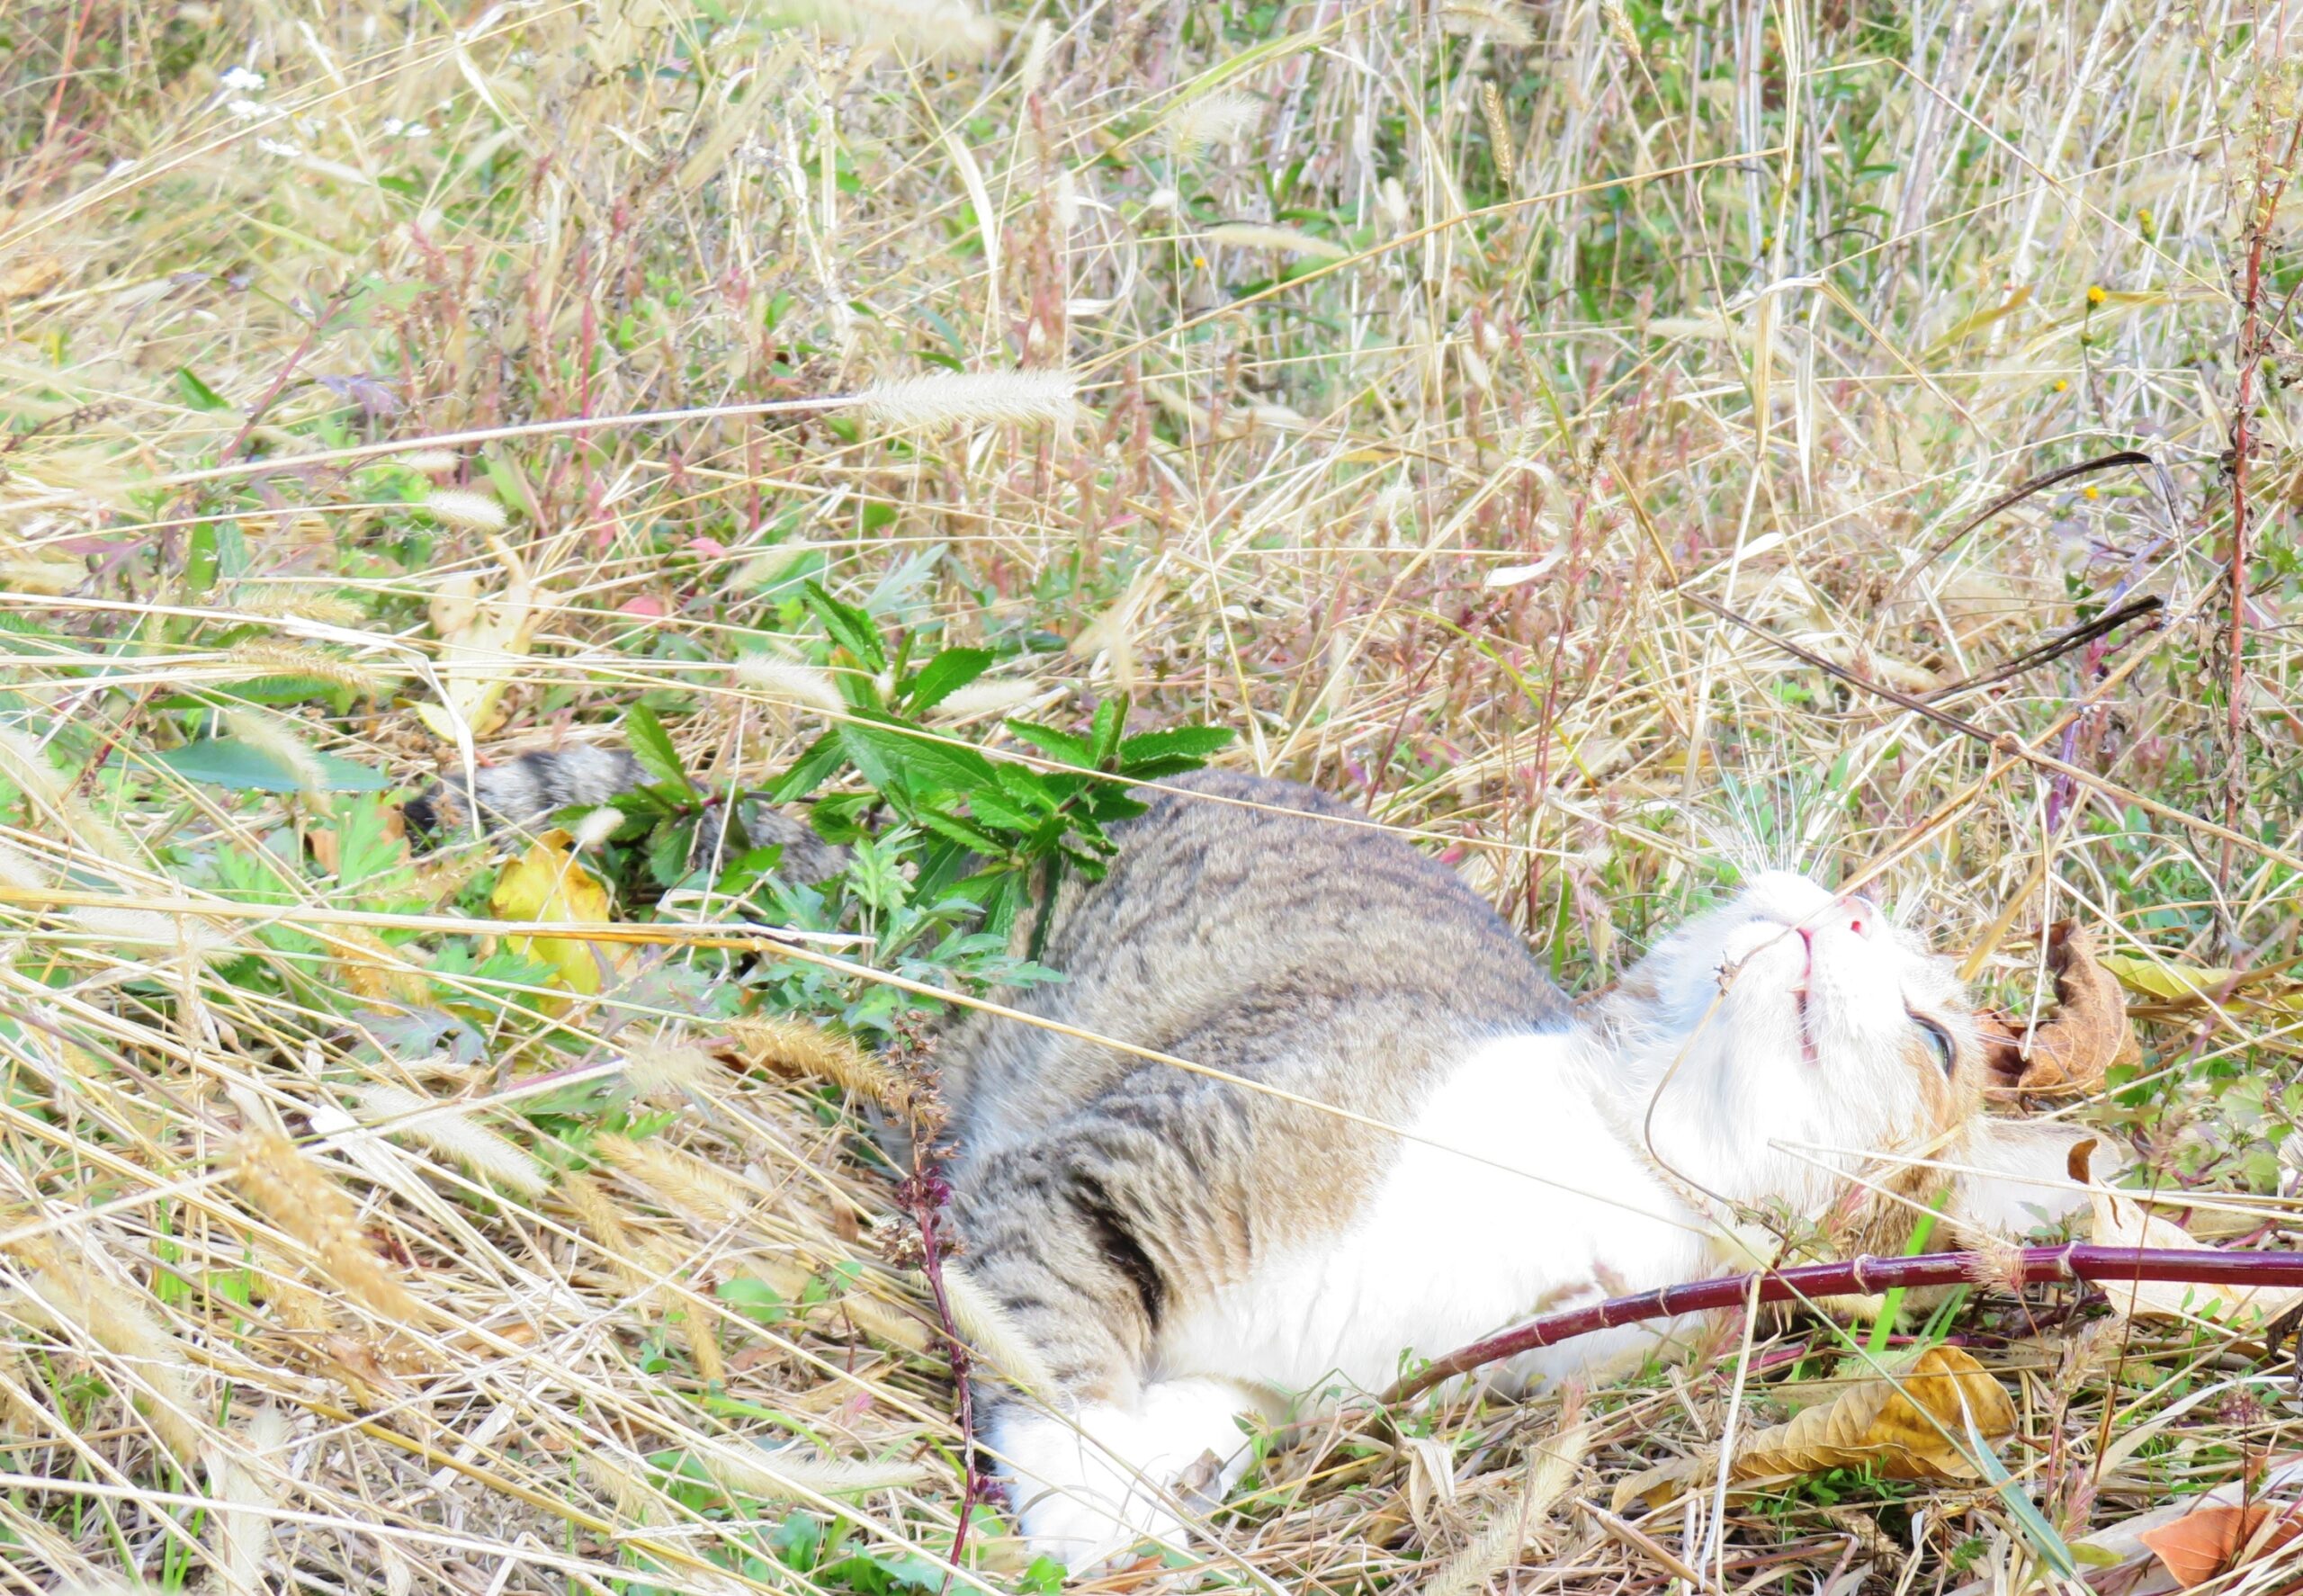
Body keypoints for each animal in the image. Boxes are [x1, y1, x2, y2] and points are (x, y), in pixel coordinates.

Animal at [409, 746, 2109, 1565]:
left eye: (1935, 1035)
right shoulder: (1094, 1179)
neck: (1604, 1158)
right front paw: (1093, 1525)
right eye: (1778, 895)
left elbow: (1201, 1409)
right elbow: (1060, 1372)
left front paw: (1168, 1475)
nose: (1844, 908)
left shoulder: (1367, 1362)